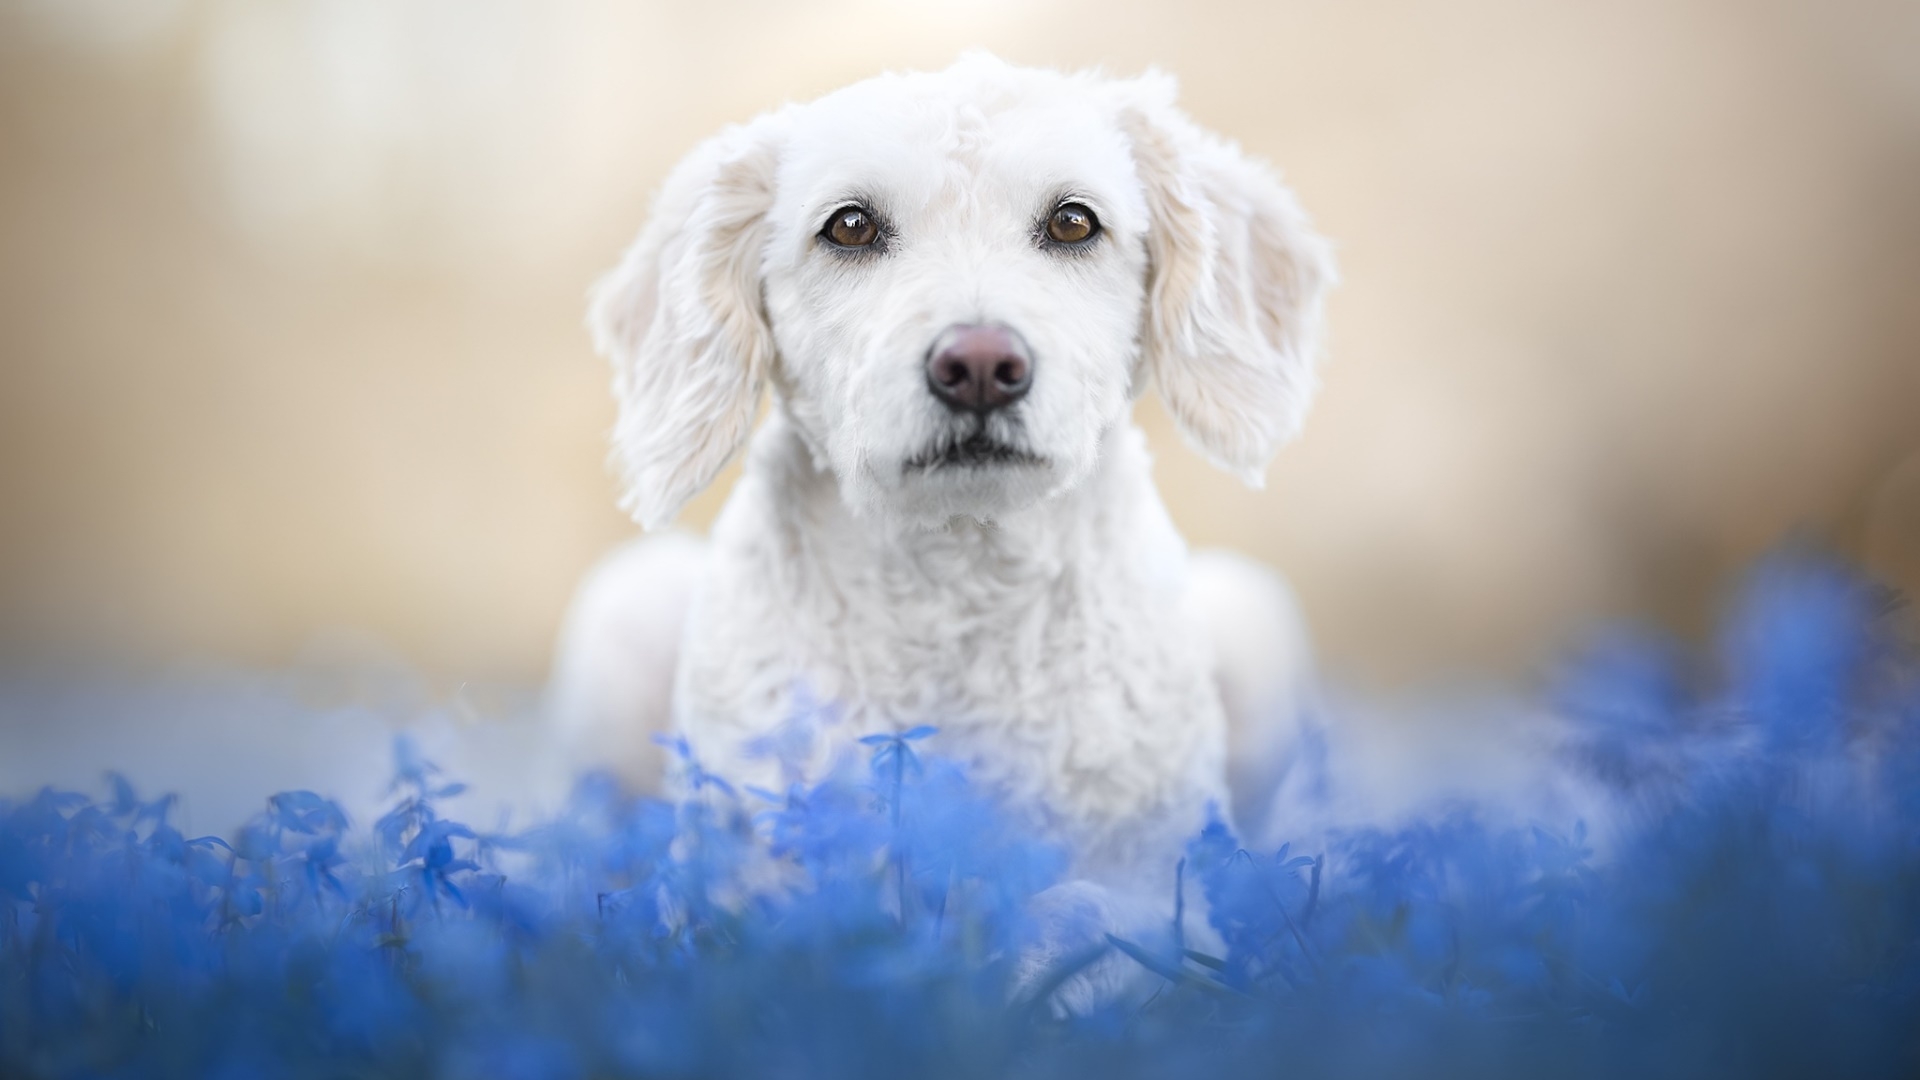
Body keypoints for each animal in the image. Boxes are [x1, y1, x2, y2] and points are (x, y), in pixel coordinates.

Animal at [556, 54, 1328, 899]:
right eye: (850, 226)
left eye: (1074, 222)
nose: (982, 366)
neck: (961, 572)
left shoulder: (1156, 870)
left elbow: (1083, 908)